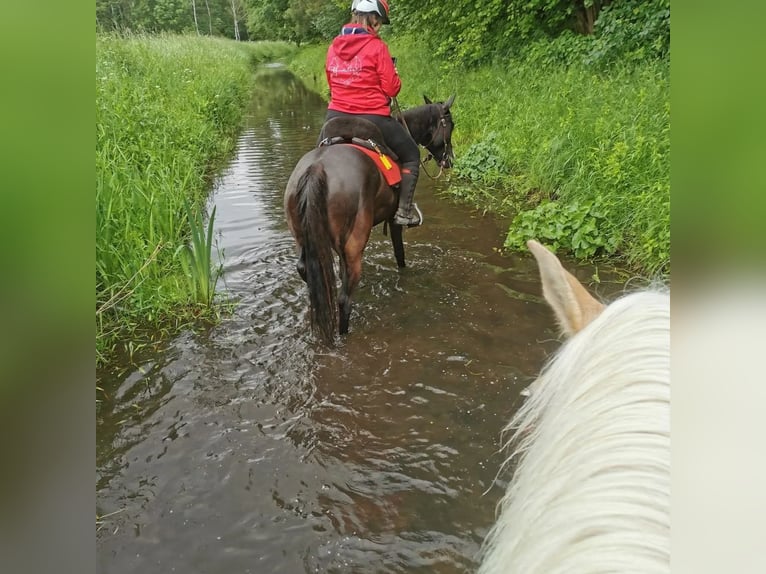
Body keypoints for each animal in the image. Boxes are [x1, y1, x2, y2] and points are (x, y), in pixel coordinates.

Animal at [284, 95, 456, 344]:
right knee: (344, 299)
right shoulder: (393, 222)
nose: (449, 160)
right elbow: (399, 254)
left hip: (304, 239)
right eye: (451, 126)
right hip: (355, 243)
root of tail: (317, 168)